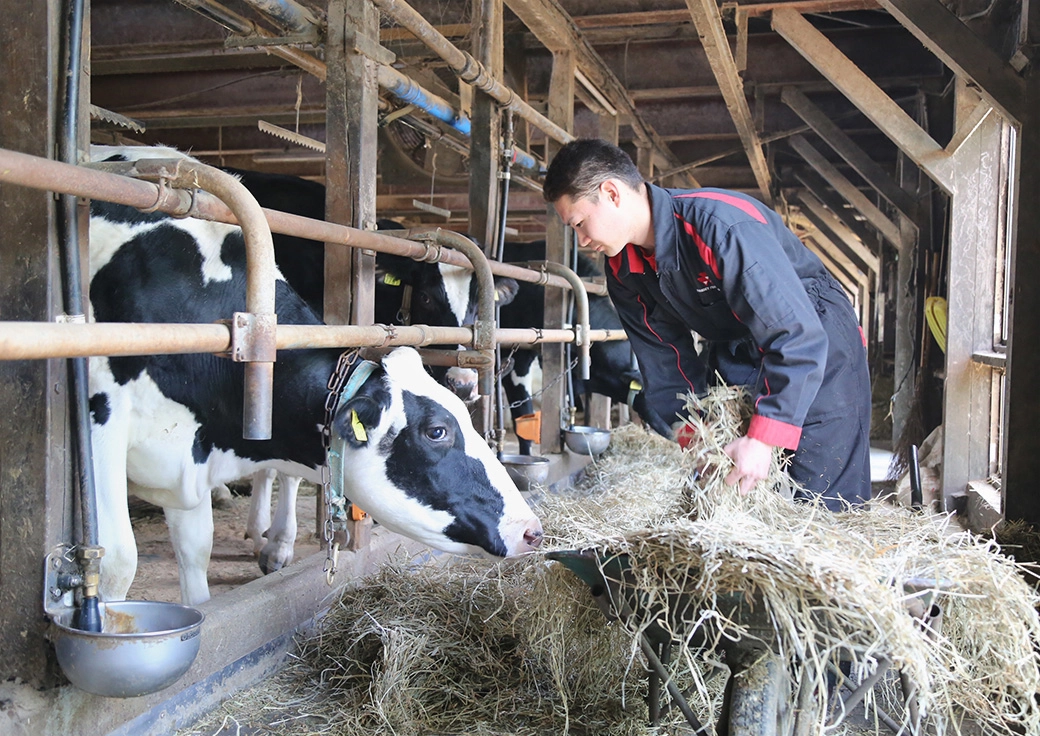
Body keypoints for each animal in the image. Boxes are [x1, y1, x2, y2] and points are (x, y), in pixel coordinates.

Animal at [87, 184, 544, 602]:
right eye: (437, 432)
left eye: (479, 309)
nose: (532, 529)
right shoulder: (103, 425)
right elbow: (117, 563)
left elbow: (196, 553)